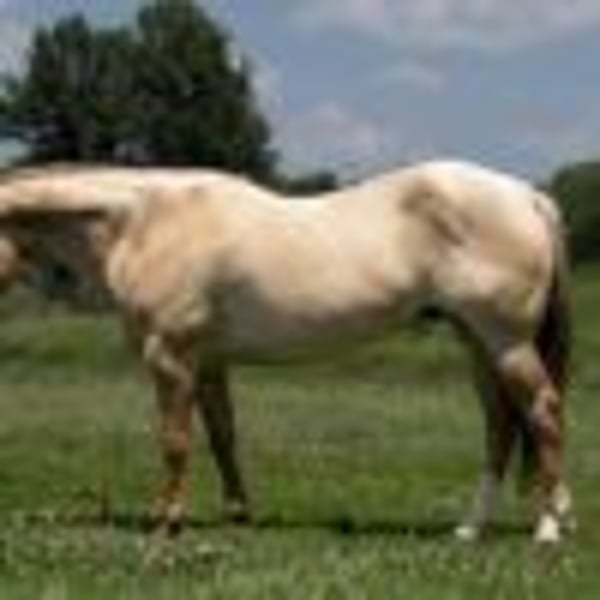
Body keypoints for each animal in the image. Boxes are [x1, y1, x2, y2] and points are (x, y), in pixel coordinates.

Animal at [0, 159, 572, 543]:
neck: (146, 221)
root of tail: (528, 196)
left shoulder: (170, 357)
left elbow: (175, 441)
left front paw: (168, 521)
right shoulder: (209, 361)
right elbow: (223, 437)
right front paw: (238, 514)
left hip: (506, 342)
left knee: (542, 413)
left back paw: (548, 527)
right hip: (476, 343)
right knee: (500, 426)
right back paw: (471, 528)